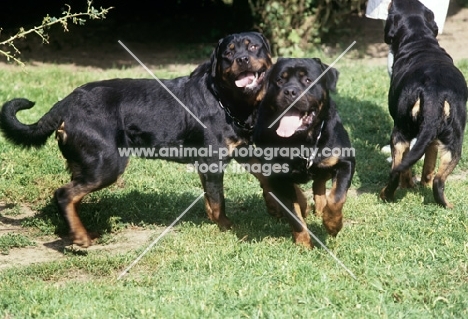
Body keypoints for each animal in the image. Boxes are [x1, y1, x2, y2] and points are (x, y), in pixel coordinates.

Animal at [1, 31, 274, 248]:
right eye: (228, 53)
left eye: (252, 47)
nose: (241, 59)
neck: (226, 100)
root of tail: (66, 103)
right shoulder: (213, 161)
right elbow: (218, 202)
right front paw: (226, 227)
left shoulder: (242, 151)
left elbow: (265, 177)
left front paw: (275, 208)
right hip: (107, 163)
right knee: (64, 195)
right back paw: (81, 238)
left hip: (87, 163)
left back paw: (80, 231)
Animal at [254, 58, 356, 248]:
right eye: (279, 80)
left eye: (308, 80)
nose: (290, 91)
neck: (302, 140)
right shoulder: (278, 176)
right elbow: (294, 216)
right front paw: (304, 244)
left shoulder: (345, 162)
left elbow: (337, 198)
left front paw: (333, 224)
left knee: (320, 182)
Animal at [380, 0, 468, 208]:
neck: (419, 39)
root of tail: (433, 92)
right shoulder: (433, 138)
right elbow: (429, 161)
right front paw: (422, 184)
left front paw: (409, 184)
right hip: (454, 140)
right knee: (439, 179)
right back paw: (446, 205)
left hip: (400, 132)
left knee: (396, 170)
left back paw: (386, 195)